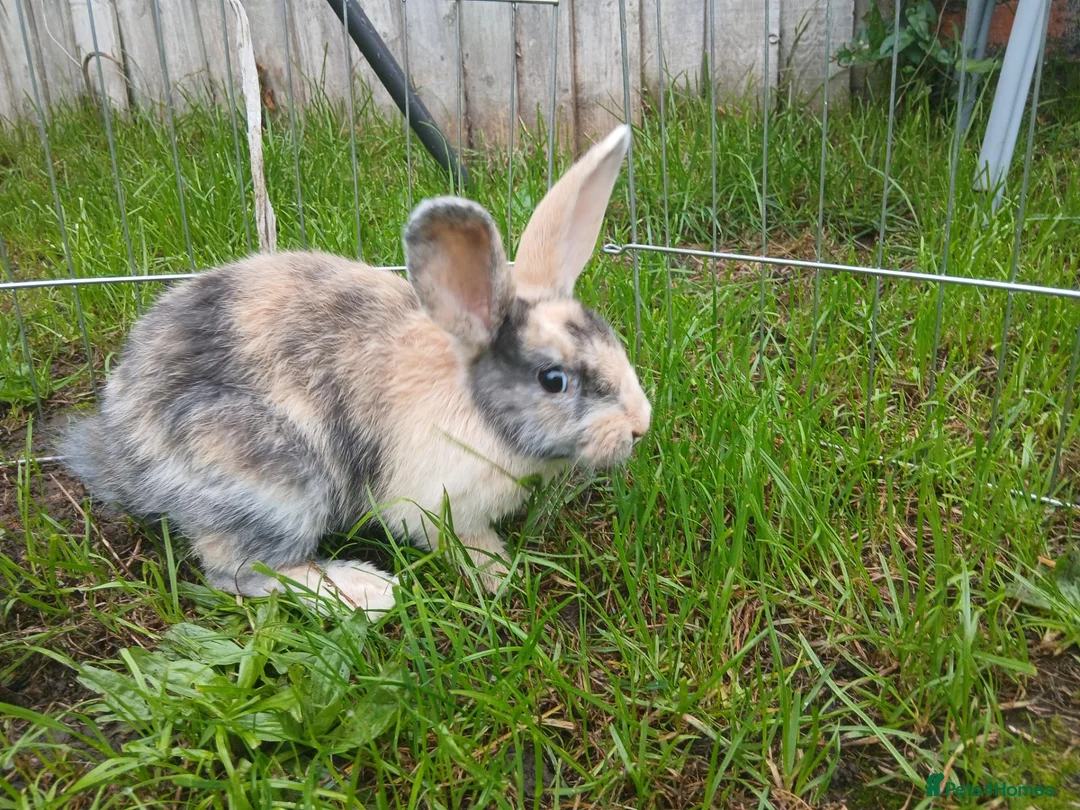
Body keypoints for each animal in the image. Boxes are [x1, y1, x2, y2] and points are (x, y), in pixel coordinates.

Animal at [59, 124, 651, 616]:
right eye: (554, 379)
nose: (641, 426)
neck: (478, 407)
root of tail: (124, 456)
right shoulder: (437, 505)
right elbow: (465, 543)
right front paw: (499, 576)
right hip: (268, 478)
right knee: (241, 572)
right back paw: (367, 590)